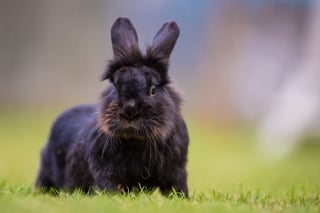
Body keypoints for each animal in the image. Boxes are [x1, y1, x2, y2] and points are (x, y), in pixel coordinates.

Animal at [36, 17, 189, 197]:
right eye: (116, 86)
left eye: (153, 89)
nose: (130, 111)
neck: (136, 141)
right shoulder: (105, 170)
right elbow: (108, 185)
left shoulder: (176, 171)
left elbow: (177, 187)